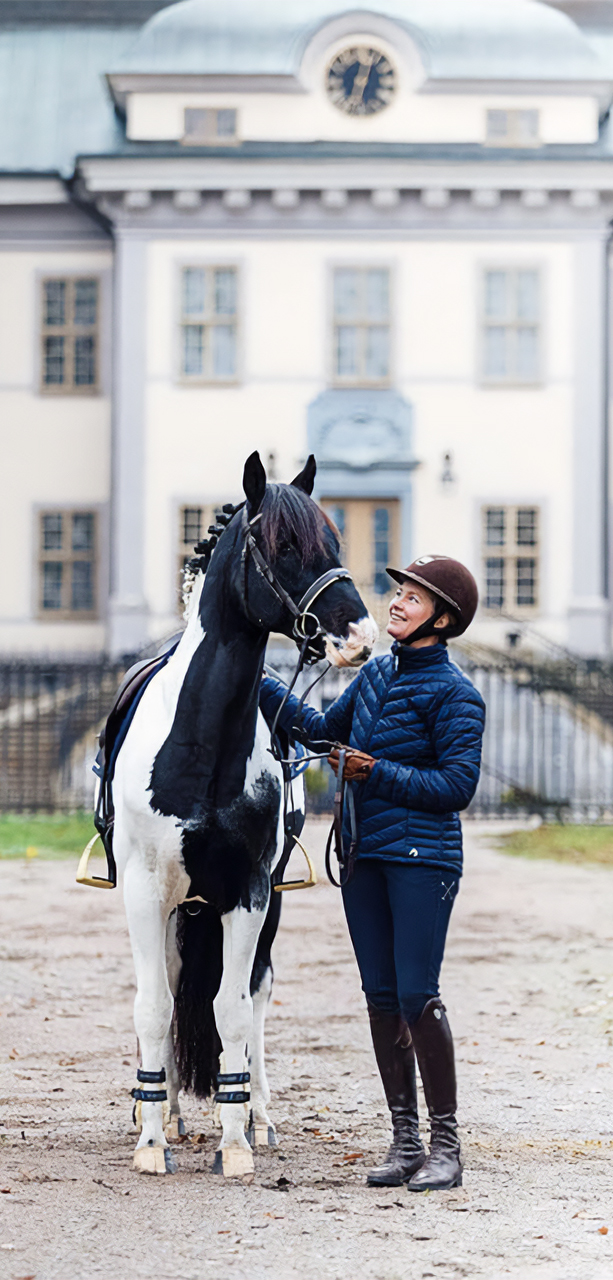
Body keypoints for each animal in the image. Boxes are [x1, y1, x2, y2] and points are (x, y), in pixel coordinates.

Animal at [111, 453, 376, 1177]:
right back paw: (168, 1114)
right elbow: (155, 1007)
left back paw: (256, 1117)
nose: (359, 636)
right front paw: (151, 1140)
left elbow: (231, 1010)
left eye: (334, 539)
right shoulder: (146, 892)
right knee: (174, 991)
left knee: (254, 997)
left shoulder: (249, 893)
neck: (201, 741)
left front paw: (234, 1143)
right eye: (284, 546)